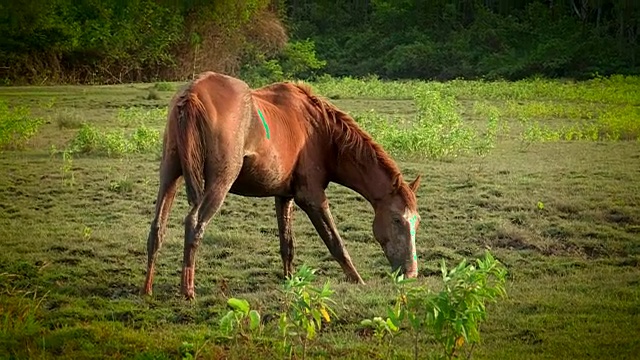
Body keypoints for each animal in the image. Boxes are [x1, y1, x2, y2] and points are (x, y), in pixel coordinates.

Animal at [141, 71, 422, 300]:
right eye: (397, 219)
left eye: (417, 222)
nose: (411, 273)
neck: (319, 130)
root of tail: (191, 94)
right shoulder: (312, 198)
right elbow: (335, 242)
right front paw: (358, 280)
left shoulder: (284, 196)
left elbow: (287, 245)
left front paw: (289, 281)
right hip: (219, 182)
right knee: (194, 223)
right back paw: (187, 290)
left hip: (170, 175)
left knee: (157, 229)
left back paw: (147, 288)